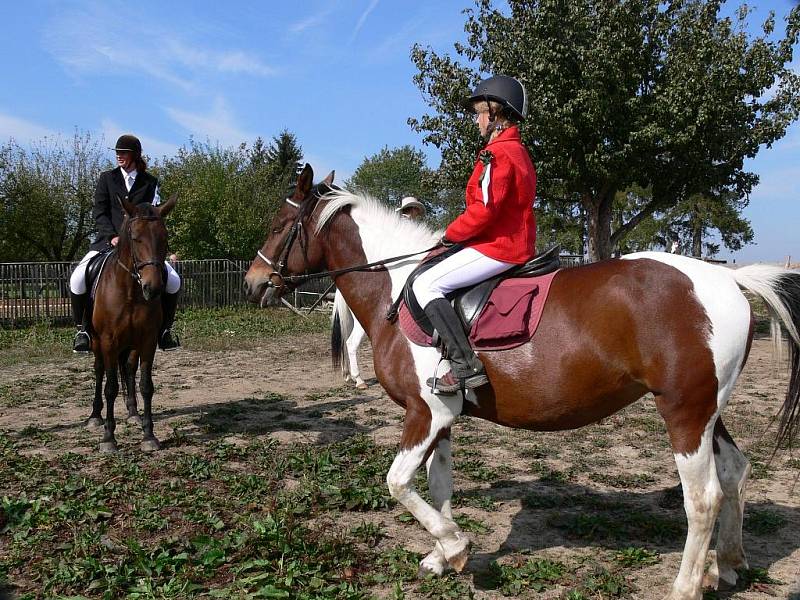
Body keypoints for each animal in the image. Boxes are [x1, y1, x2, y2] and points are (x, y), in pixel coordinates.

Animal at [85, 195, 177, 452]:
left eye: (164, 237)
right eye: (135, 238)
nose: (152, 288)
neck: (130, 292)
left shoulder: (148, 341)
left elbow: (146, 385)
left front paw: (149, 435)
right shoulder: (108, 341)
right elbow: (110, 387)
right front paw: (108, 438)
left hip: (131, 344)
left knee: (127, 368)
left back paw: (133, 413)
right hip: (96, 343)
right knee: (99, 371)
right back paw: (95, 416)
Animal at [244, 165, 800, 600]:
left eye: (278, 225)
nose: (252, 283)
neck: (399, 291)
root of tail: (727, 277)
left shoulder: (426, 413)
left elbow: (398, 483)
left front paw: (455, 546)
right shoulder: (443, 418)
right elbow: (438, 484)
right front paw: (443, 557)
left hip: (684, 412)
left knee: (703, 497)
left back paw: (685, 586)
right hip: (708, 411)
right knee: (735, 472)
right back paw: (727, 565)